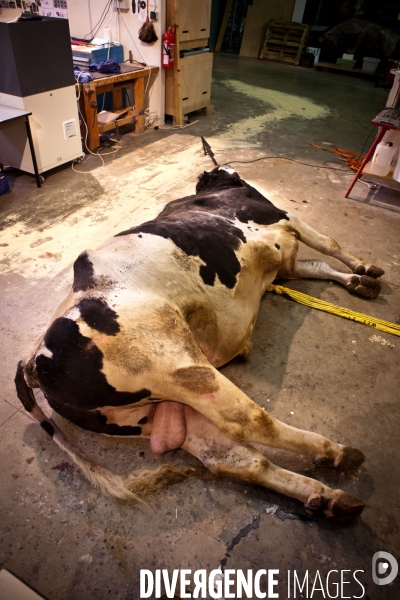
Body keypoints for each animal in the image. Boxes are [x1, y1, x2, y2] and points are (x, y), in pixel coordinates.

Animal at [15, 168, 384, 516]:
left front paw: (357, 280)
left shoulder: (285, 264)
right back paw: (336, 452)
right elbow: (328, 244)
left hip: (155, 410)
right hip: (181, 366)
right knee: (249, 421)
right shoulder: (282, 216)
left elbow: (317, 264)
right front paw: (364, 268)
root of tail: (32, 359)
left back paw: (329, 495)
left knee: (236, 459)